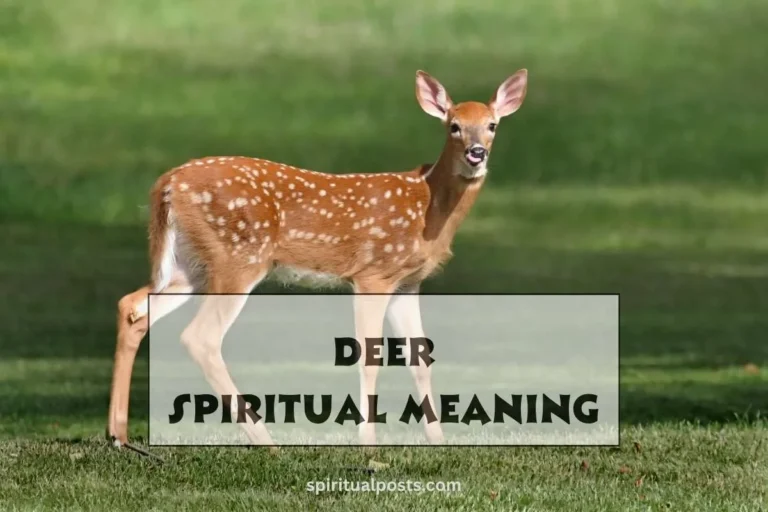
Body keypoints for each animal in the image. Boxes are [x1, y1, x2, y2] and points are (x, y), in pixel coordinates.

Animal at [107, 68, 528, 451]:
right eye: (454, 126)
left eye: (491, 125)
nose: (477, 153)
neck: (428, 206)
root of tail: (167, 185)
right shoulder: (373, 273)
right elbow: (370, 356)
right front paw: (370, 450)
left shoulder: (407, 282)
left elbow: (419, 359)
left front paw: (438, 442)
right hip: (238, 257)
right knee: (200, 337)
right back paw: (268, 443)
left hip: (190, 266)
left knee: (133, 306)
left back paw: (119, 435)